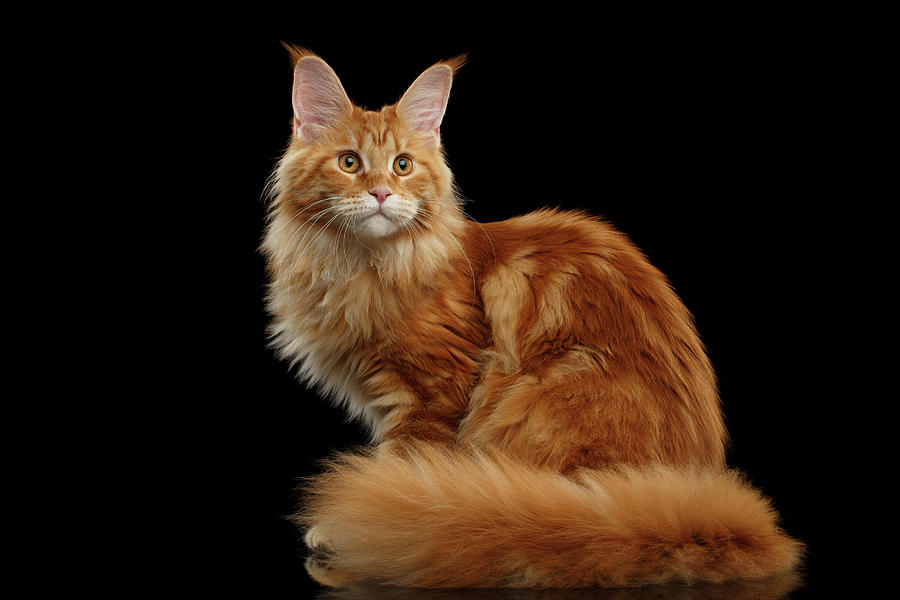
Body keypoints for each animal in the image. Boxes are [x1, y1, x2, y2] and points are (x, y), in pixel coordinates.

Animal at [262, 45, 800, 584]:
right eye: (349, 162)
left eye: (402, 165)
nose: (380, 194)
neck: (362, 266)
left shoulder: (430, 392)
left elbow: (402, 467)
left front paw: (358, 525)